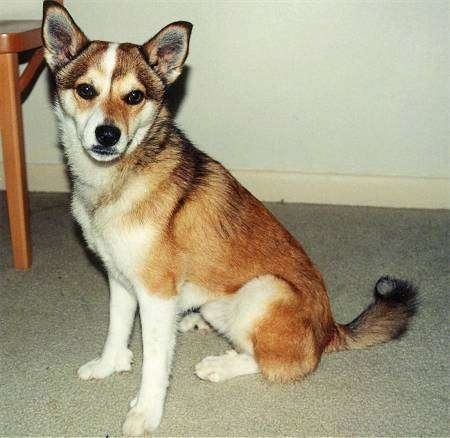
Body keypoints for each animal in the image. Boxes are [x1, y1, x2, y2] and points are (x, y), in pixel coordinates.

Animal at [42, 2, 418, 434]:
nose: (108, 135)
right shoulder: (120, 279)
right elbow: (116, 330)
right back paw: (193, 323)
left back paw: (221, 365)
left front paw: (146, 412)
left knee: (280, 363)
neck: (117, 179)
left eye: (134, 96)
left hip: (264, 291)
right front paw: (109, 365)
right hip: (218, 303)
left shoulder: (155, 291)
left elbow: (155, 364)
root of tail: (329, 329)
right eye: (86, 90)